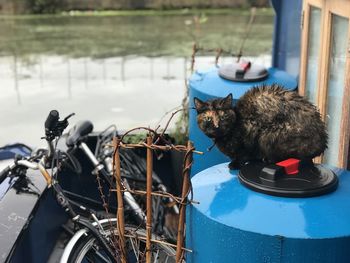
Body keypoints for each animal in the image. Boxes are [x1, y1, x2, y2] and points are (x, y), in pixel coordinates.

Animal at [194, 84, 328, 171]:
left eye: (223, 117)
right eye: (208, 119)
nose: (217, 126)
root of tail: (322, 143)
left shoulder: (250, 134)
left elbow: (244, 154)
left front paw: (235, 164)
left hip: (268, 135)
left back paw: (267, 159)